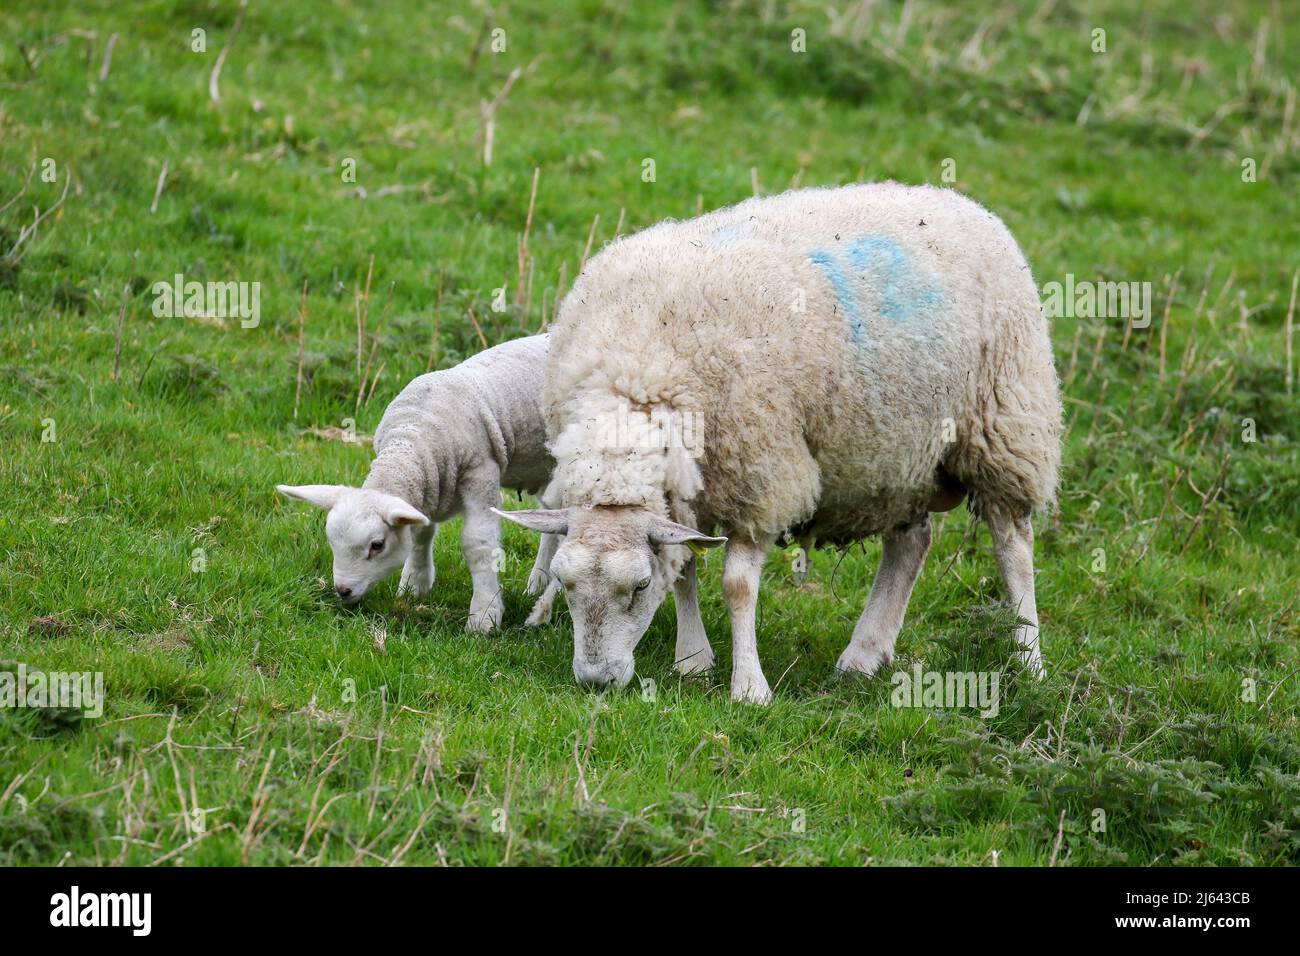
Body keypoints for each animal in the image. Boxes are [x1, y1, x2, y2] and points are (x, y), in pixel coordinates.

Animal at [278, 334, 561, 632]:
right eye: (331, 541)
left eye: (377, 545)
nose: (343, 591)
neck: (411, 435)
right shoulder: (428, 484)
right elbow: (420, 532)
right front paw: (414, 584)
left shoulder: (480, 473)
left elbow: (478, 545)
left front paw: (484, 615)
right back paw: (539, 583)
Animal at [497, 183, 1062, 702]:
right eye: (564, 582)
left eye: (637, 586)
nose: (596, 680)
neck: (635, 378)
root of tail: (959, 200)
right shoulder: (690, 490)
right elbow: (683, 570)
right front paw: (693, 659)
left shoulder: (761, 478)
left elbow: (737, 586)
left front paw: (748, 687)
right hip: (900, 456)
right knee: (910, 543)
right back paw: (863, 655)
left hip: (1004, 422)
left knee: (1012, 545)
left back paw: (1029, 662)